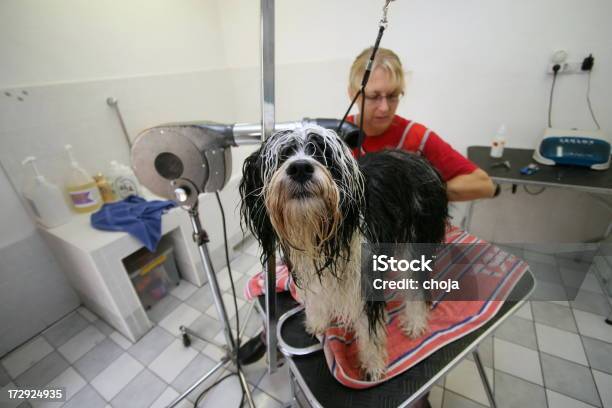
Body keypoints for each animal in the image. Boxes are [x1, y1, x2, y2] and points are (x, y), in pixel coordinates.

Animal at [240, 125, 450, 380]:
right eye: (283, 155)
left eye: (322, 154)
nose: (300, 168)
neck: (321, 232)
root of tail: (420, 160)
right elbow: (317, 300)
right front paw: (318, 321)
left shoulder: (364, 277)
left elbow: (369, 330)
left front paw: (372, 364)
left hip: (416, 241)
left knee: (417, 287)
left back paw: (415, 322)